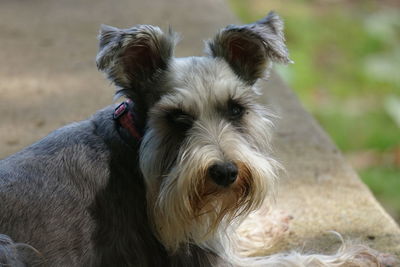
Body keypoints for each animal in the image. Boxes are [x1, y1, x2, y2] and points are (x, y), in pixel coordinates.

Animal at [0, 11, 394, 267]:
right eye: (177, 118)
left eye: (235, 109)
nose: (225, 172)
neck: (132, 144)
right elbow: (296, 261)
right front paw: (358, 256)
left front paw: (267, 223)